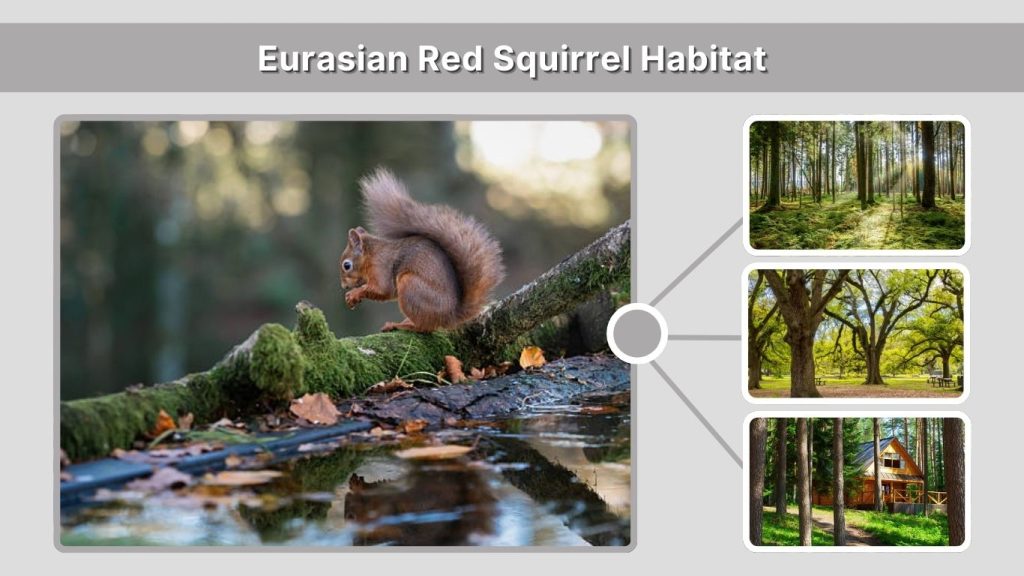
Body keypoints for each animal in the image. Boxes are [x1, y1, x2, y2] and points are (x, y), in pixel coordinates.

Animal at [339, 168, 506, 333]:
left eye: (347, 265)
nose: (344, 286)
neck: (372, 254)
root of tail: (449, 317)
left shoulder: (380, 267)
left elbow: (382, 290)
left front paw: (353, 294)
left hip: (410, 286)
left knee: (422, 327)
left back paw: (399, 325)